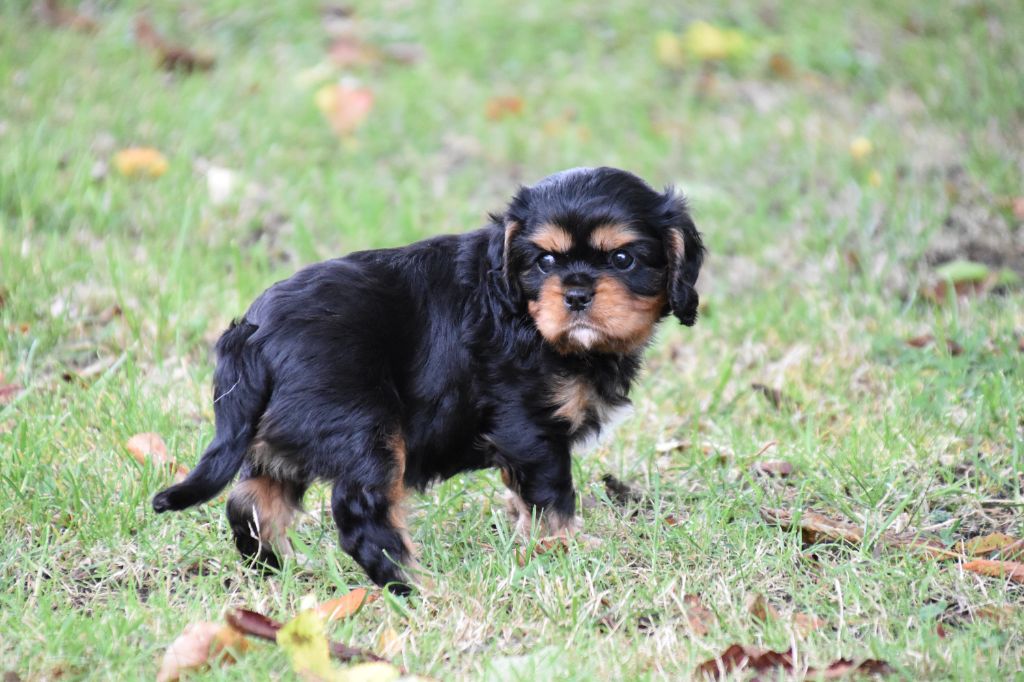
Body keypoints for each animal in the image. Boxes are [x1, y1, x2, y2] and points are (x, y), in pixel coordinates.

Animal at [152, 166, 704, 594]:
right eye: (545, 260)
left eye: (622, 259)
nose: (576, 294)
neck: (519, 308)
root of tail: (252, 331)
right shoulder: (530, 428)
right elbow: (552, 498)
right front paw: (568, 547)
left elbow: (525, 499)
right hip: (366, 435)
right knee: (360, 520)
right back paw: (417, 588)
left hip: (283, 440)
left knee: (248, 504)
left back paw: (280, 571)